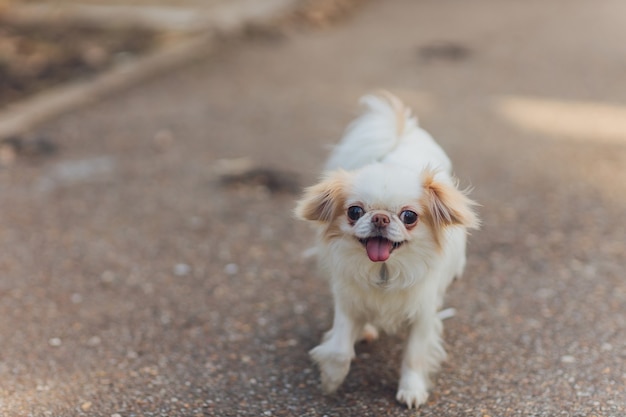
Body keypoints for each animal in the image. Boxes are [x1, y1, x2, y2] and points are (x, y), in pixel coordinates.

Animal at [292, 92, 478, 406]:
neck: (384, 270)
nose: (380, 218)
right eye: (355, 211)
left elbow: (414, 356)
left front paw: (411, 390)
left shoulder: (423, 314)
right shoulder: (348, 303)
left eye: (409, 216)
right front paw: (331, 379)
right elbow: (339, 349)